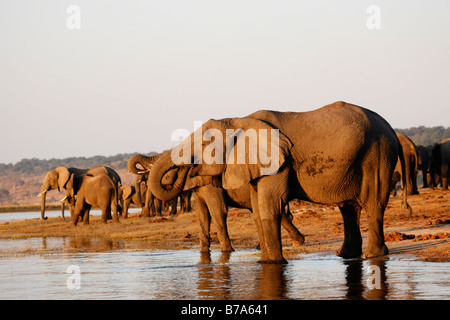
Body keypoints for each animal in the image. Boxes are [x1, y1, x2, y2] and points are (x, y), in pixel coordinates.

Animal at [129, 152, 306, 252]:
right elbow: (202, 215)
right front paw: (203, 253)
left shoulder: (209, 183)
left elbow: (217, 211)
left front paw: (228, 251)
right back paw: (295, 241)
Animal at [149, 102, 412, 262]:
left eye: (205, 144)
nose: (185, 169)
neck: (238, 120)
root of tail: (391, 129)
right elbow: (257, 210)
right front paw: (265, 261)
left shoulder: (276, 163)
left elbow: (270, 206)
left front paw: (273, 263)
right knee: (349, 208)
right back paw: (345, 255)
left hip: (378, 155)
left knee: (373, 203)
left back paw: (373, 256)